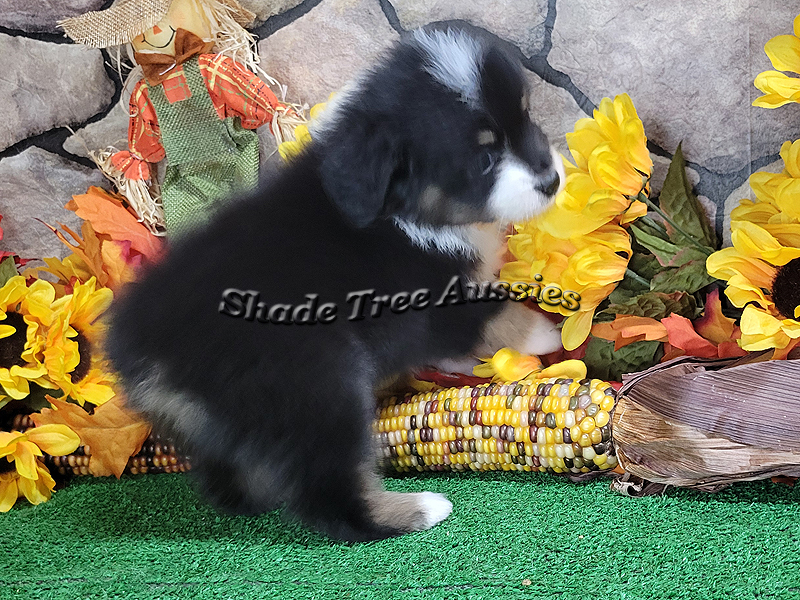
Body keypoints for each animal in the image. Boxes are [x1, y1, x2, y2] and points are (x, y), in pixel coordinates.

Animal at [106, 30, 564, 540]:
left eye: (527, 115)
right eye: (484, 158)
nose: (551, 181)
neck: (405, 210)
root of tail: (150, 351)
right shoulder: (436, 297)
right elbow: (496, 311)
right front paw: (547, 332)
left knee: (232, 483)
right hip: (318, 384)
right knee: (329, 494)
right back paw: (416, 510)